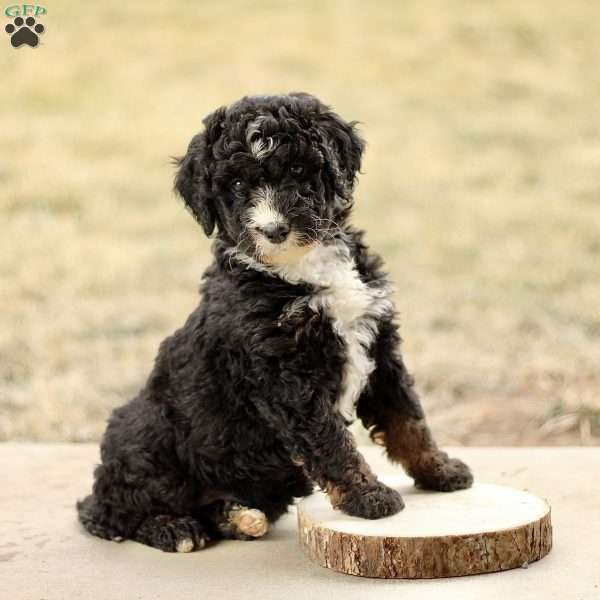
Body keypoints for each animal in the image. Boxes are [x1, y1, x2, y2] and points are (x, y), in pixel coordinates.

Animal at [77, 92, 474, 552]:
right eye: (234, 186)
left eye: (298, 170)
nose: (273, 230)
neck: (303, 268)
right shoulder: (288, 378)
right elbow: (331, 442)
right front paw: (369, 496)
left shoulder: (380, 345)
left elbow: (409, 419)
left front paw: (440, 470)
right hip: (143, 430)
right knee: (112, 510)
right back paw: (175, 529)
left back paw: (236, 517)